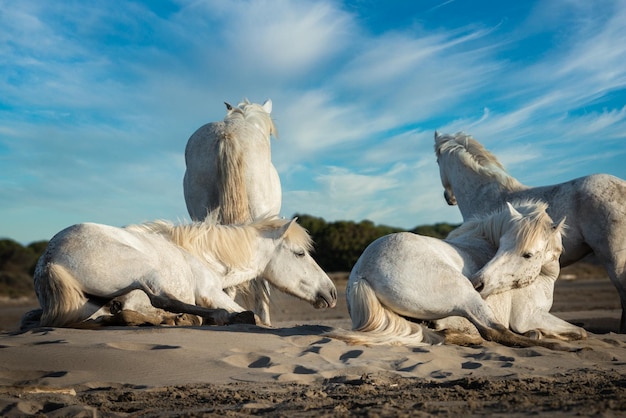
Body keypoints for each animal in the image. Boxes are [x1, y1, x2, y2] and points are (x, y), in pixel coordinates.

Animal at [23, 216, 336, 330]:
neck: (203, 256)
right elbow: (256, 317)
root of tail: (49, 259)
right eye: (300, 253)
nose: (332, 293)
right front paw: (233, 315)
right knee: (161, 299)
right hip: (144, 269)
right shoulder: (210, 293)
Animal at [332, 201, 580, 352]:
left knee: (445, 335)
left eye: (527, 254)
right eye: (501, 246)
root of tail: (362, 273)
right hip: (465, 295)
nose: (479, 282)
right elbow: (580, 331)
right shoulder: (528, 316)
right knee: (494, 332)